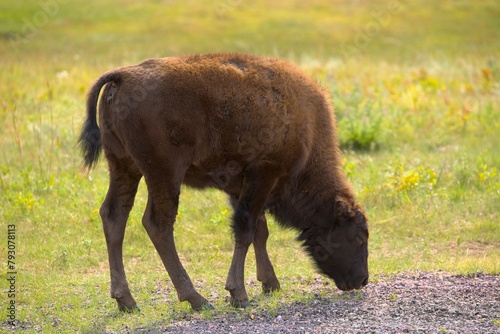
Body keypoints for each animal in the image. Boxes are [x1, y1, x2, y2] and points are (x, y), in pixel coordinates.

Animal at [78, 52, 368, 310]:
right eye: (359, 237)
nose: (362, 280)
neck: (305, 123)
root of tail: (124, 75)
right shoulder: (263, 175)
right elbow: (246, 228)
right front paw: (238, 293)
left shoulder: (239, 185)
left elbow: (259, 230)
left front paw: (270, 283)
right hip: (164, 173)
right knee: (158, 224)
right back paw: (196, 299)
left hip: (123, 166)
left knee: (114, 216)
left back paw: (126, 301)